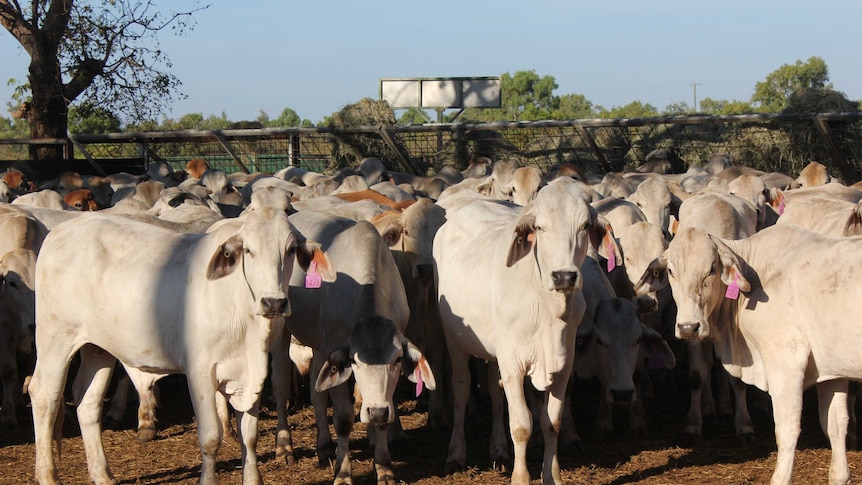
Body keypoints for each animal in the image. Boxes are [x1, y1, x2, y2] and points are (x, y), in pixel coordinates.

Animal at [29, 209, 334, 484]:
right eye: (248, 250)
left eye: (291, 249)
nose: (273, 303)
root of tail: (61, 231)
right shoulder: (199, 372)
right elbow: (211, 438)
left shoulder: (251, 374)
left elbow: (249, 437)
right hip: (55, 339)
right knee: (44, 395)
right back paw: (47, 475)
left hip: (98, 348)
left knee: (87, 402)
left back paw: (102, 474)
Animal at [436, 178, 604, 484]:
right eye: (540, 227)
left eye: (585, 225)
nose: (564, 276)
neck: (547, 307)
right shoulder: (513, 363)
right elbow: (522, 425)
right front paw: (521, 477)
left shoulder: (564, 363)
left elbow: (552, 421)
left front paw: (552, 475)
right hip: (454, 339)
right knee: (462, 388)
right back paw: (456, 453)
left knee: (494, 389)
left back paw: (499, 449)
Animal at [644, 224, 862, 484]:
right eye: (671, 271)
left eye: (712, 268)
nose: (689, 327)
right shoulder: (831, 371)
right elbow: (835, 425)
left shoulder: (786, 364)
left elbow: (786, 430)